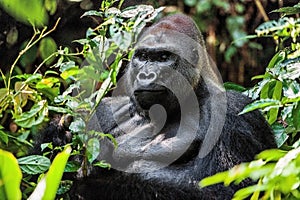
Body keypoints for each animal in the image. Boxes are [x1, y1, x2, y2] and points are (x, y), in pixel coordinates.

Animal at [37, 13, 274, 198]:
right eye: (143, 56)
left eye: (163, 57)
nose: (146, 74)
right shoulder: (101, 110)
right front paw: (57, 135)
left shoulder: (235, 113)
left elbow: (230, 190)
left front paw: (94, 185)